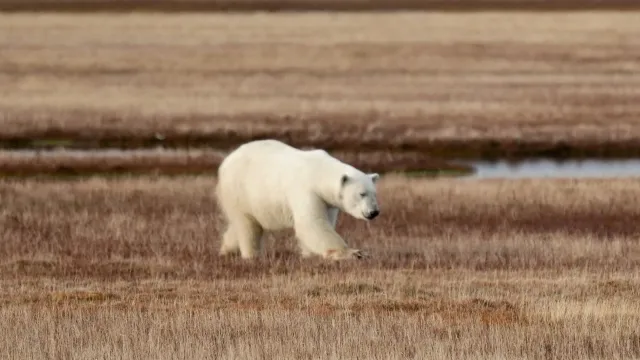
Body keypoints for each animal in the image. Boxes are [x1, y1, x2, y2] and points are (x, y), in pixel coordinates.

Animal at [218, 139, 382, 260]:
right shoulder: (306, 190)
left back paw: (227, 250)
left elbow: (322, 221)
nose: (374, 212)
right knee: (247, 226)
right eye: (362, 194)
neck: (319, 172)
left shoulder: (327, 201)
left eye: (374, 193)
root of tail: (226, 161)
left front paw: (309, 254)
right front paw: (353, 253)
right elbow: (312, 222)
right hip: (239, 191)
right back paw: (251, 255)